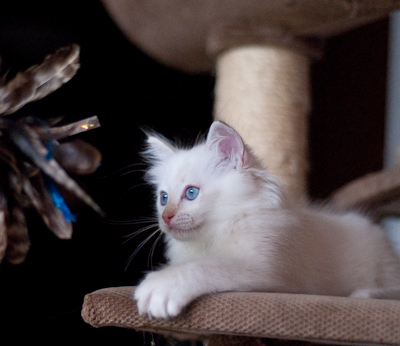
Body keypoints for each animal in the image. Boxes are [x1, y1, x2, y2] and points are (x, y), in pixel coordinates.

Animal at [134, 121, 400, 318]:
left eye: (191, 193)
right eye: (163, 198)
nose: (166, 217)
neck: (215, 234)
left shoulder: (269, 270)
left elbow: (211, 266)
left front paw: (160, 286)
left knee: (393, 290)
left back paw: (364, 293)